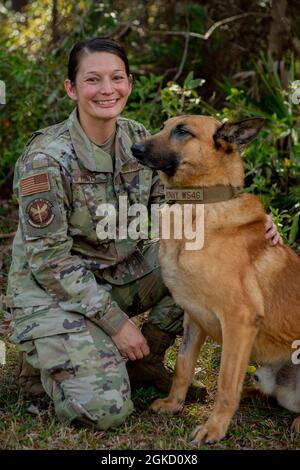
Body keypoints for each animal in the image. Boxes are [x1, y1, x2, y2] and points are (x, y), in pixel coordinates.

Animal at [132, 115, 300, 442]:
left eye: (182, 131)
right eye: (164, 125)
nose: (135, 148)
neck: (198, 207)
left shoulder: (239, 322)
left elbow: (225, 383)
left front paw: (214, 428)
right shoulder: (193, 318)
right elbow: (183, 365)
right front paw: (174, 404)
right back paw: (250, 393)